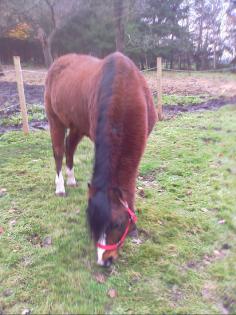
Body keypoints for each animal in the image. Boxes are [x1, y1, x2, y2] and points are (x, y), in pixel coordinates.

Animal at [45, 52, 158, 266]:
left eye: (118, 224)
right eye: (91, 223)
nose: (104, 261)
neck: (125, 93)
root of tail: (59, 61)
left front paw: (133, 228)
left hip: (77, 125)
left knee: (69, 147)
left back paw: (71, 180)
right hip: (55, 120)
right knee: (59, 152)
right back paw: (60, 187)